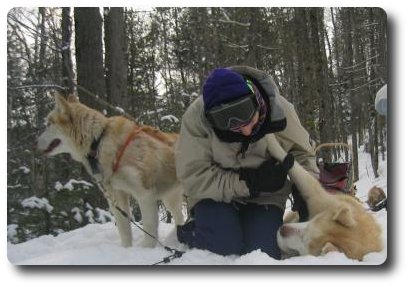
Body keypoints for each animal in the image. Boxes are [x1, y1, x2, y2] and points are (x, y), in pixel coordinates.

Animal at [36, 94, 184, 248]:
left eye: (48, 124)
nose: (34, 143)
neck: (98, 142)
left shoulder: (145, 194)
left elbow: (149, 229)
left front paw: (146, 250)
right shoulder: (116, 197)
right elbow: (124, 231)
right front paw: (127, 250)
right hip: (170, 198)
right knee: (180, 218)